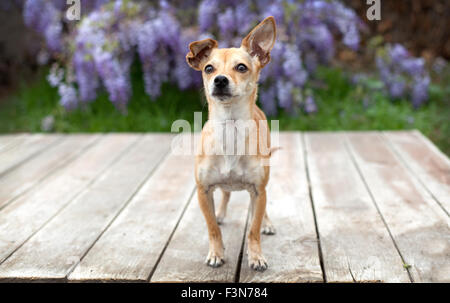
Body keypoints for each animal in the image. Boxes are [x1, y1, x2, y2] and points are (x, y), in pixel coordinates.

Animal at [185, 17, 276, 274]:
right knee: (225, 193)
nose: (220, 80)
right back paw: (221, 213)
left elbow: (253, 230)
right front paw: (216, 254)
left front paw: (256, 257)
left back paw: (267, 222)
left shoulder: (258, 190)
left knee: (260, 210)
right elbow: (212, 229)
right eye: (209, 69)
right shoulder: (203, 191)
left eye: (241, 67)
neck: (230, 127)